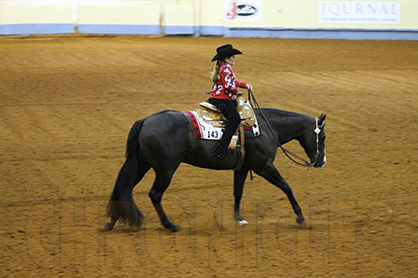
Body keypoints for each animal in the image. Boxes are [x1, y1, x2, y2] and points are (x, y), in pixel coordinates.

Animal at [104, 107, 326, 231]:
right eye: (322, 137)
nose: (321, 162)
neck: (265, 127)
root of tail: (145, 121)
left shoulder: (242, 169)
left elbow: (238, 192)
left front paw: (238, 220)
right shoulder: (263, 166)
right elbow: (286, 187)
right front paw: (300, 216)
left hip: (142, 165)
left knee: (125, 188)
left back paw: (112, 222)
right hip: (165, 170)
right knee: (154, 194)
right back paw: (170, 225)